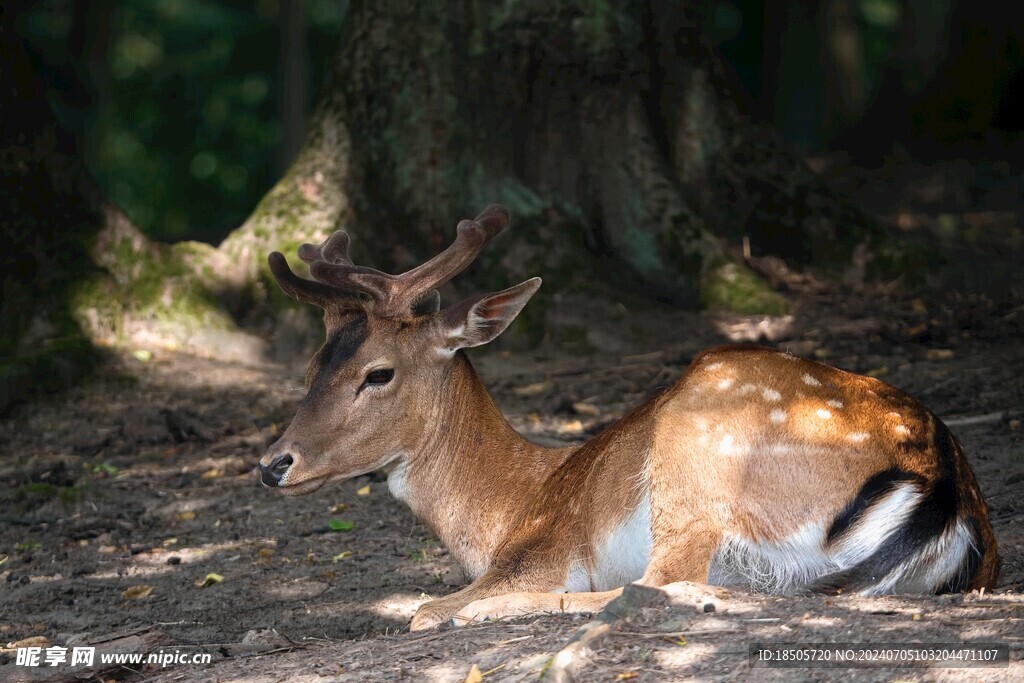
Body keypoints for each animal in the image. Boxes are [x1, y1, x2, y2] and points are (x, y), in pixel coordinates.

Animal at [258, 202, 999, 630]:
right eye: (313, 363)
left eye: (378, 372)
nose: (272, 464)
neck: (509, 504)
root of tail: (945, 491)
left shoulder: (543, 549)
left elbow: (424, 608)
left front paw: (458, 607)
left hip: (698, 449)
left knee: (662, 585)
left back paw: (485, 612)